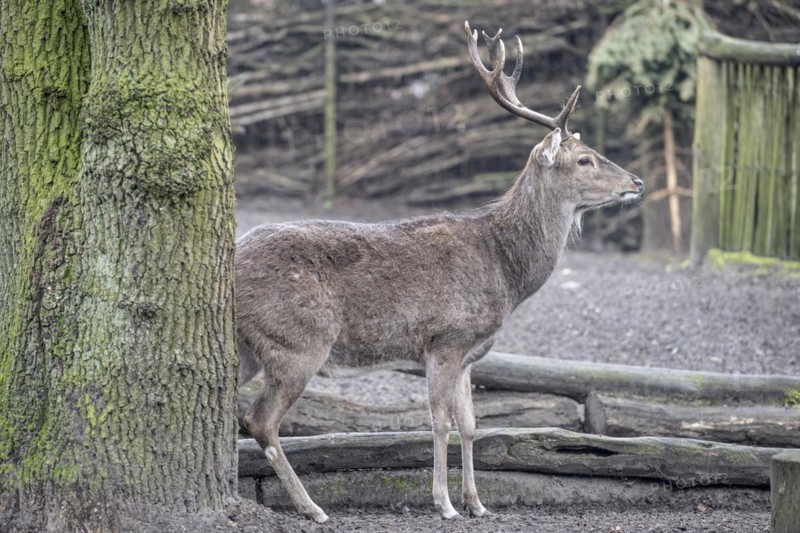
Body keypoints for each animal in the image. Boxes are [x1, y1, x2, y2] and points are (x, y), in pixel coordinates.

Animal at [235, 21, 644, 523]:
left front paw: (477, 503)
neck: (505, 271)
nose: (637, 182)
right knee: (261, 420)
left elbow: (471, 424)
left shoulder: (469, 354)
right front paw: (444, 503)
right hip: (299, 340)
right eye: (585, 158)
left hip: (249, 345)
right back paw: (312, 507)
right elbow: (440, 420)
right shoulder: (445, 339)